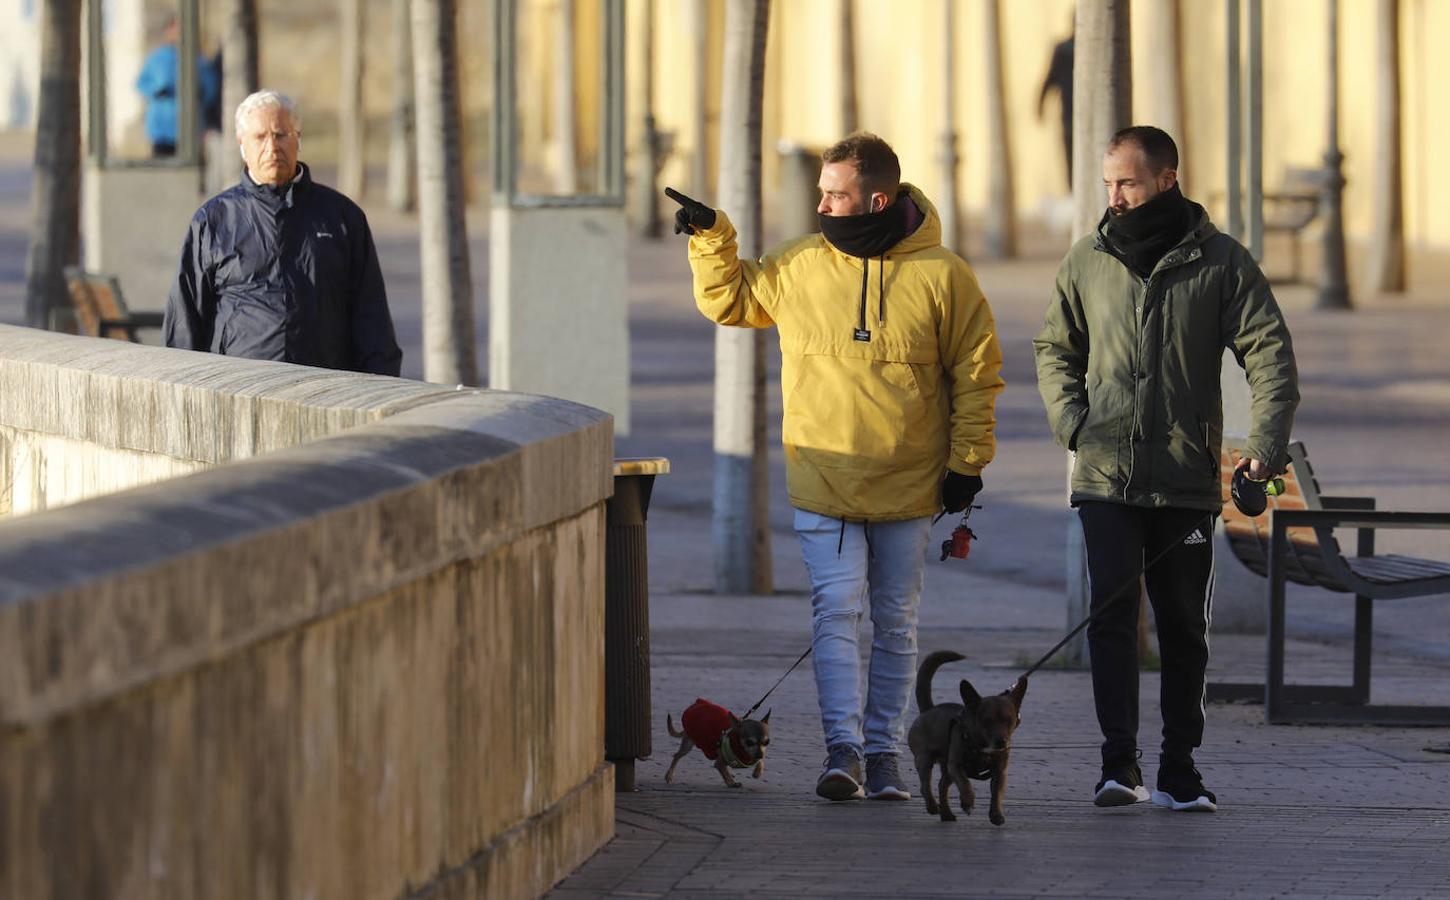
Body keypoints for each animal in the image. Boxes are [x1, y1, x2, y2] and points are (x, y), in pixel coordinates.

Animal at [910, 649, 1026, 823]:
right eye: (987, 721)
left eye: (1009, 720)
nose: (1001, 742)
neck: (981, 746)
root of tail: (927, 710)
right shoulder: (956, 766)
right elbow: (965, 783)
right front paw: (968, 802)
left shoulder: (1000, 771)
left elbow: (997, 793)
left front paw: (996, 814)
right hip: (925, 760)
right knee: (925, 785)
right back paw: (932, 806)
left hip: (946, 769)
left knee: (942, 785)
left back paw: (946, 814)